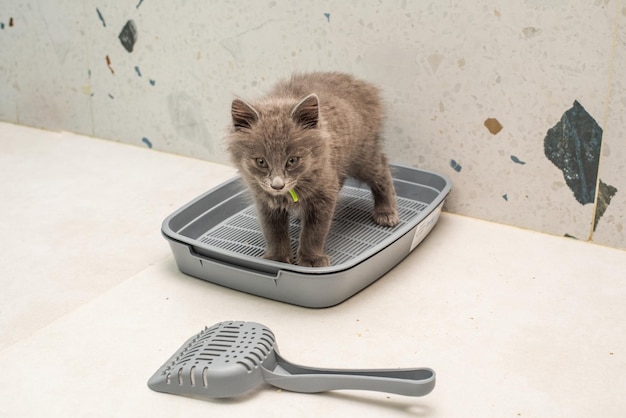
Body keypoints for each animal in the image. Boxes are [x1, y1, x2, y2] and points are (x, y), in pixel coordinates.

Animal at [227, 72, 398, 266]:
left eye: (292, 160)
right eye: (261, 162)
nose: (277, 185)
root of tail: (363, 84)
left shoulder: (324, 194)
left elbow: (314, 231)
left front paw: (311, 259)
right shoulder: (264, 200)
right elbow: (273, 231)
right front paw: (277, 258)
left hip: (363, 156)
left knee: (382, 171)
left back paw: (386, 211)